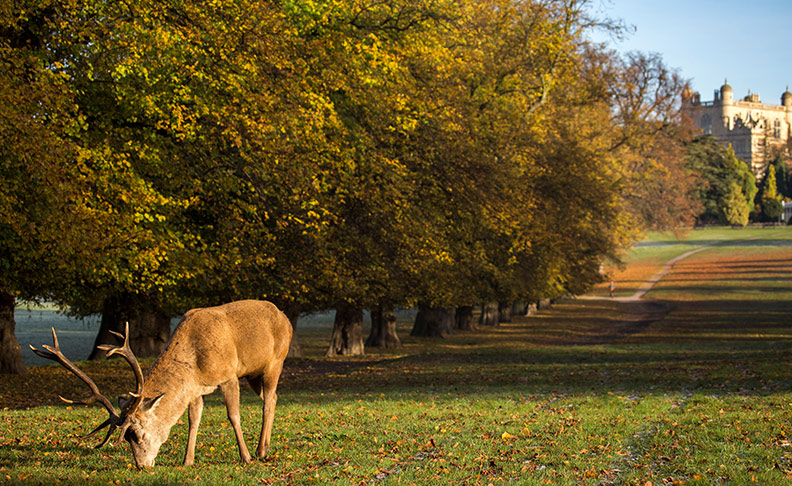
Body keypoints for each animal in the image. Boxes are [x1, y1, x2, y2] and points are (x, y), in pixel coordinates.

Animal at [30, 300, 294, 468]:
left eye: (136, 434)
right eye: (126, 438)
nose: (141, 466)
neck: (194, 362)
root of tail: (286, 318)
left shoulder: (228, 374)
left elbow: (233, 416)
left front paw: (245, 457)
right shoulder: (196, 389)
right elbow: (193, 420)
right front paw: (187, 461)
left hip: (275, 362)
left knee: (268, 402)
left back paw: (260, 451)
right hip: (254, 375)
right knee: (272, 398)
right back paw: (265, 446)